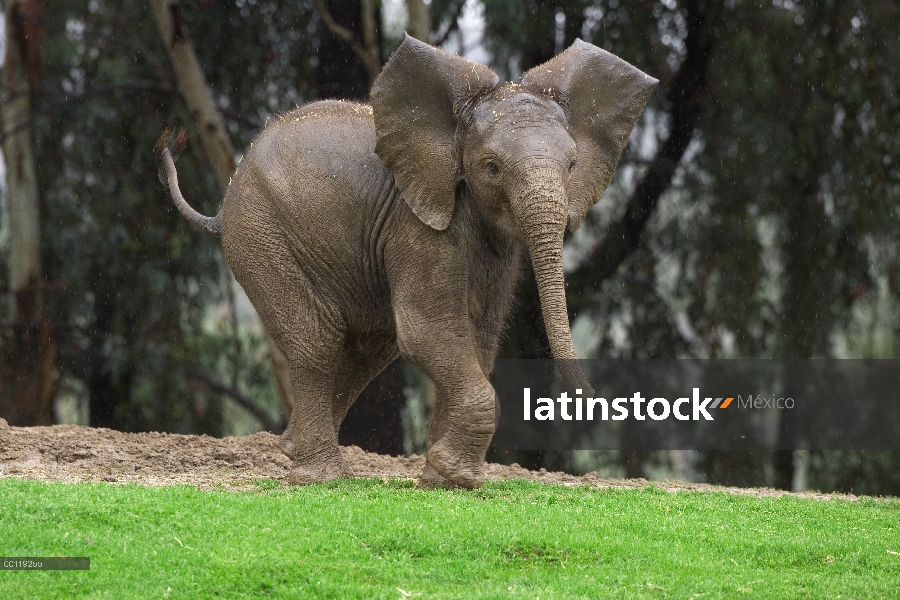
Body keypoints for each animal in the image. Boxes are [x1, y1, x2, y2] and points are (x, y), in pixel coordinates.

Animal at [158, 35, 656, 490]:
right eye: (491, 167)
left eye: (572, 167)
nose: (593, 400)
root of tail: (223, 206)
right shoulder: (417, 225)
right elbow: (428, 329)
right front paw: (455, 474)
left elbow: (477, 336)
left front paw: (441, 479)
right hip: (261, 234)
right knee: (319, 338)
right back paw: (320, 477)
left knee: (368, 346)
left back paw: (291, 448)